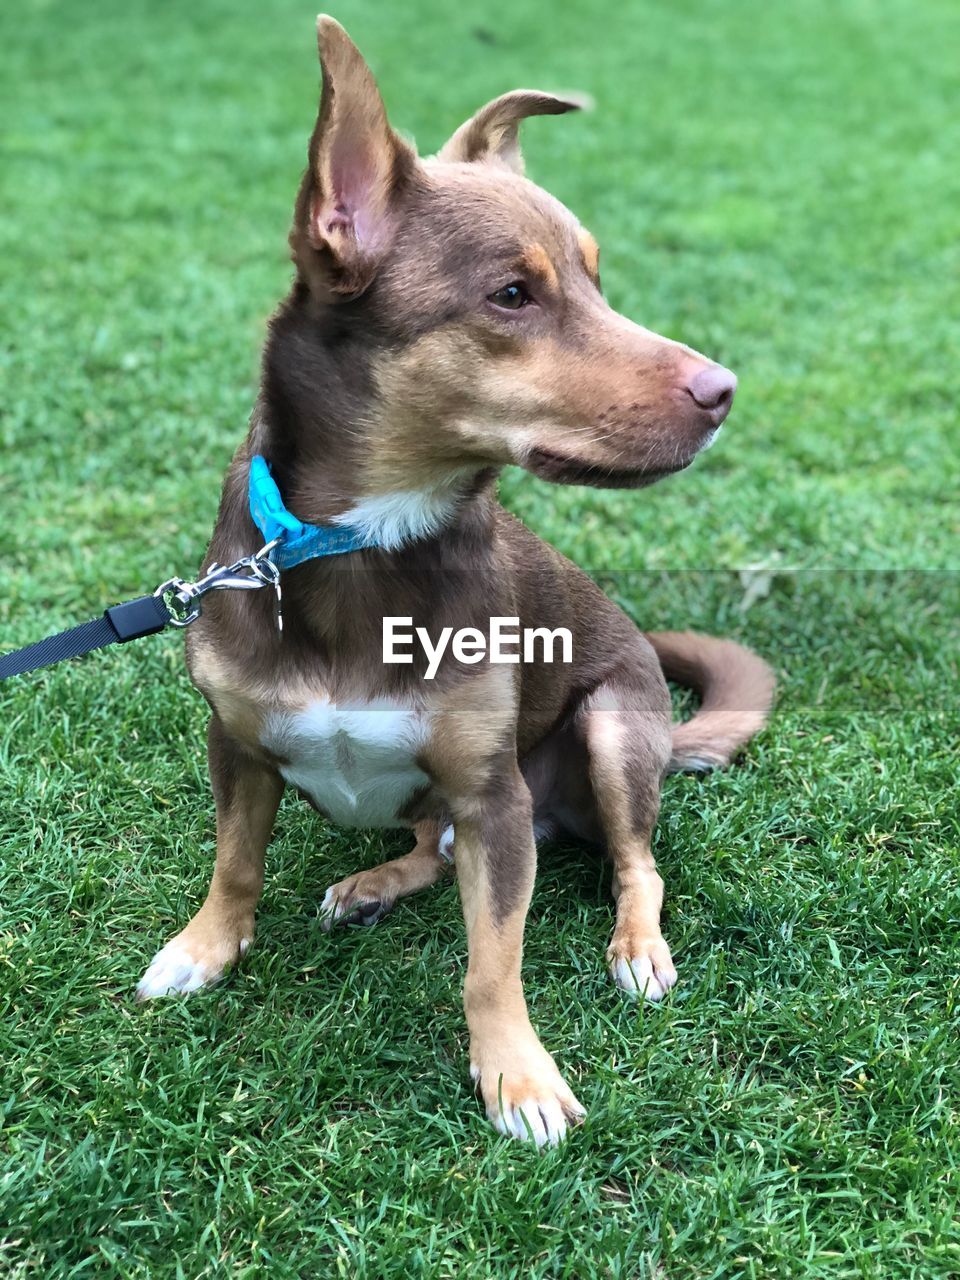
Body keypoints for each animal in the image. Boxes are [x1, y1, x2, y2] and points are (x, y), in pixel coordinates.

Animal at [138, 15, 778, 1146]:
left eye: (598, 280)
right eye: (513, 295)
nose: (725, 392)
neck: (360, 545)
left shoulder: (494, 799)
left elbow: (493, 960)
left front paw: (516, 1075)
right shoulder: (239, 746)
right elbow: (235, 861)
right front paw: (205, 947)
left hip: (614, 728)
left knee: (637, 863)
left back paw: (637, 947)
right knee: (429, 845)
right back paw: (374, 881)